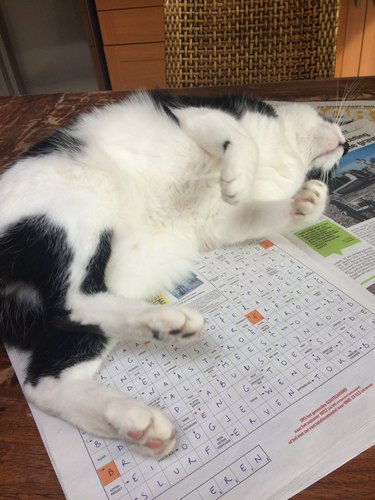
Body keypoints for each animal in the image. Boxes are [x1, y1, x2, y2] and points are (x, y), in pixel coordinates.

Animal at [0, 92, 350, 458]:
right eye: (325, 116)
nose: (348, 144)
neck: (285, 151)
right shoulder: (193, 110)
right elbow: (244, 139)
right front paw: (239, 177)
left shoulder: (224, 223)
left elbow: (257, 215)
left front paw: (306, 203)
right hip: (77, 206)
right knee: (71, 301)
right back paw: (171, 321)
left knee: (44, 379)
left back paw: (138, 418)